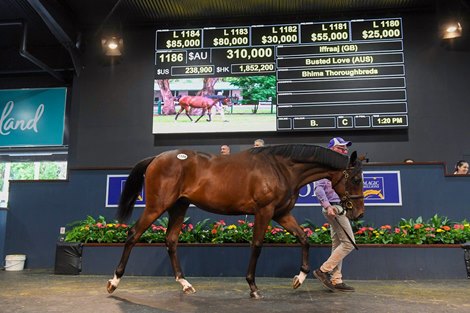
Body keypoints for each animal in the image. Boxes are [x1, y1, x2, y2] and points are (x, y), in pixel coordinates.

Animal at [106, 144, 364, 298]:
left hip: (179, 207)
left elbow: (304, 238)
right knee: (133, 234)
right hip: (156, 206)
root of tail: (157, 157)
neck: (281, 168)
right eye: (356, 179)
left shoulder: (281, 213)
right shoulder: (264, 212)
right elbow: (257, 246)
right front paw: (253, 287)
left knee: (170, 240)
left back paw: (185, 284)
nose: (359, 213)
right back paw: (114, 282)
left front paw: (299, 279)